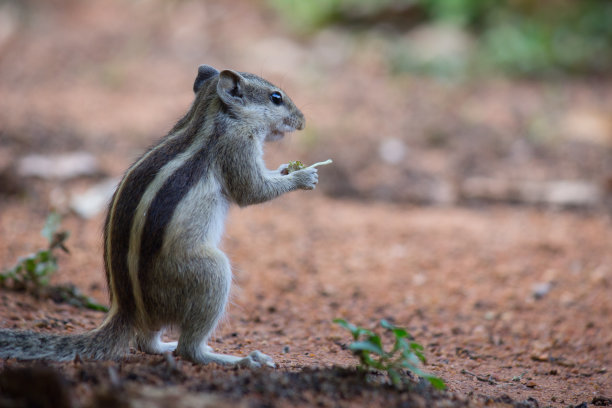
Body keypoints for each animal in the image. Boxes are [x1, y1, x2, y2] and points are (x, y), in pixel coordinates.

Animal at [0, 65, 316, 368]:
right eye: (276, 97)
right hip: (209, 273)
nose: (302, 121)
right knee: (189, 349)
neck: (210, 115)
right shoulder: (237, 147)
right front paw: (302, 176)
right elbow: (252, 191)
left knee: (146, 343)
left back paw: (164, 346)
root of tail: (126, 310)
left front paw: (289, 168)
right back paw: (241, 360)